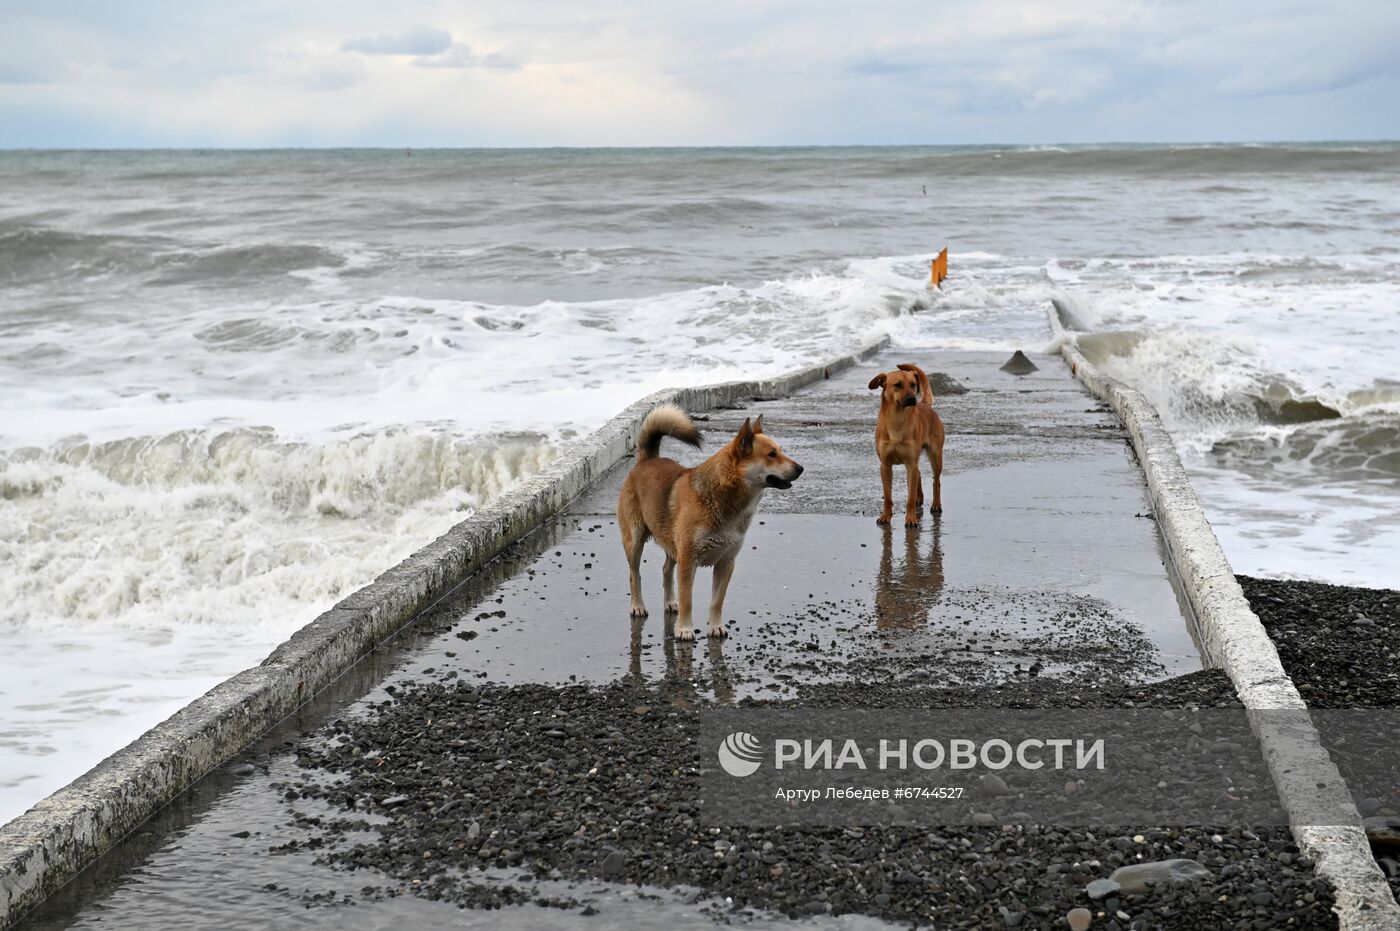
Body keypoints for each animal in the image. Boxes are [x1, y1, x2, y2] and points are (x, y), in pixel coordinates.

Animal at [618, 406, 806, 638]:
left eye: (780, 450)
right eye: (771, 454)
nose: (800, 468)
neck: (723, 497)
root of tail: (646, 460)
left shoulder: (726, 563)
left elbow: (717, 601)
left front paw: (715, 626)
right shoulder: (688, 561)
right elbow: (688, 600)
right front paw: (684, 629)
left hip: (672, 542)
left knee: (666, 570)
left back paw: (670, 602)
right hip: (635, 541)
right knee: (634, 575)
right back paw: (637, 606)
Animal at [868, 361, 946, 523]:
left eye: (913, 384)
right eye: (897, 385)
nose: (912, 399)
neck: (897, 420)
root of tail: (925, 405)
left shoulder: (911, 463)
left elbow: (909, 497)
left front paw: (911, 519)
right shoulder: (885, 466)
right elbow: (888, 497)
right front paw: (885, 516)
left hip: (936, 456)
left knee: (936, 481)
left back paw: (936, 504)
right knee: (919, 473)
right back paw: (919, 497)